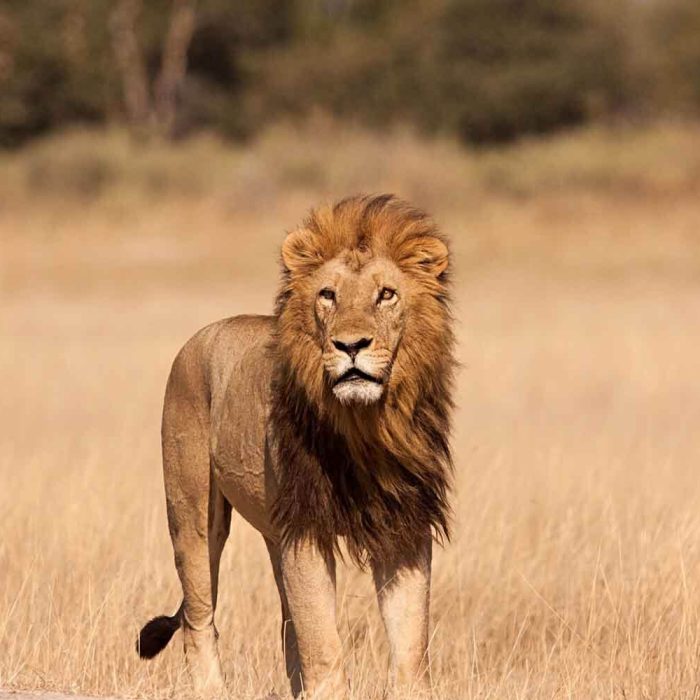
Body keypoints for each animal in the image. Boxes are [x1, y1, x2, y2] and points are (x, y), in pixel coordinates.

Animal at [137, 194, 455, 699]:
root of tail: (199, 337)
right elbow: (322, 641)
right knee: (198, 617)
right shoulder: (306, 528)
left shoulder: (404, 526)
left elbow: (409, 644)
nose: (350, 345)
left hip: (273, 533)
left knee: (287, 626)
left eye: (386, 294)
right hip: (192, 516)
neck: (363, 425)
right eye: (328, 295)